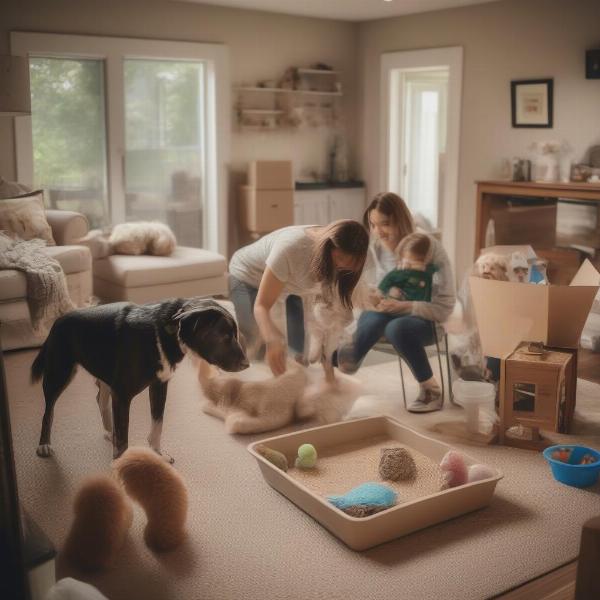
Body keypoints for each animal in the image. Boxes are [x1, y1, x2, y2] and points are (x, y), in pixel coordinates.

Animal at [31, 298, 247, 462]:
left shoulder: (159, 386)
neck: (163, 333)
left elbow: (157, 424)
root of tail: (58, 320)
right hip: (59, 374)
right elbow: (123, 440)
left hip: (104, 374)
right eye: (225, 336)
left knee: (100, 399)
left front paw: (158, 454)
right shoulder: (122, 395)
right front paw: (120, 466)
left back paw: (109, 431)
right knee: (48, 412)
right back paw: (44, 445)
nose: (247, 364)